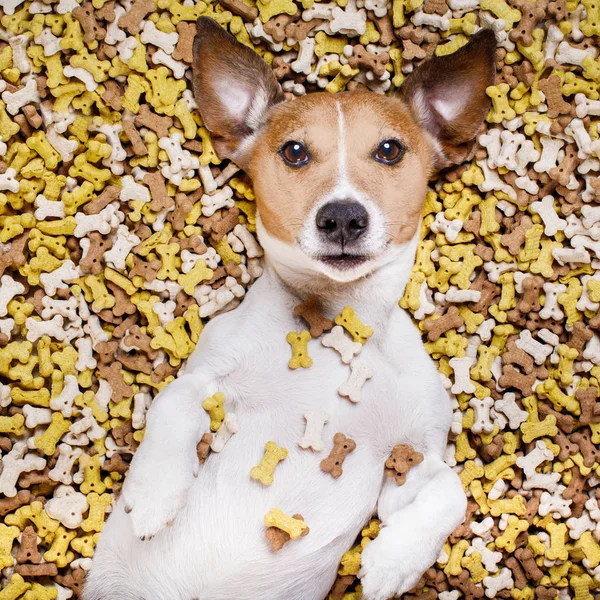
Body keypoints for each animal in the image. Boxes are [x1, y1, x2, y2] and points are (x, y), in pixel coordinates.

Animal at [85, 18, 496, 600]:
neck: (338, 320)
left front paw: (393, 561)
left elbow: (452, 489)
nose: (342, 217)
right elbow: (173, 402)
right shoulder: (205, 372)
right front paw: (154, 494)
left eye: (390, 150)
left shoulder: (413, 457)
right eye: (295, 152)